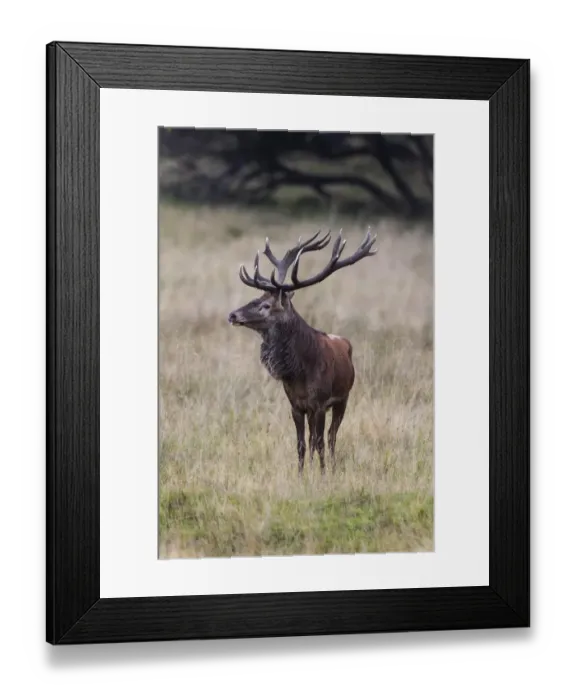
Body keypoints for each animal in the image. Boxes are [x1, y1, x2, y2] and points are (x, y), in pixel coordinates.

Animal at [227, 228, 378, 475]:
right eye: (256, 298)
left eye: (266, 306)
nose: (232, 315)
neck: (300, 372)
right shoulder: (296, 405)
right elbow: (301, 444)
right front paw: (300, 475)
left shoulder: (320, 403)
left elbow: (320, 442)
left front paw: (323, 475)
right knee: (314, 438)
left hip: (343, 399)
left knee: (331, 436)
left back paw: (332, 466)